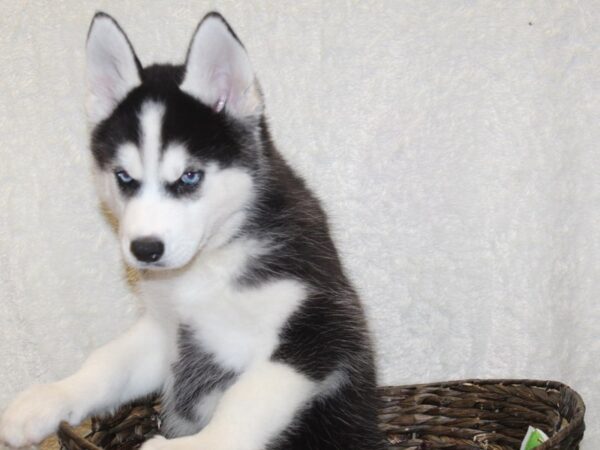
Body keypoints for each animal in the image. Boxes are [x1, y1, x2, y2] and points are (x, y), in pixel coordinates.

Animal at [0, 10, 382, 450]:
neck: (209, 264)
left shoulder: (323, 326)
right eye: (124, 177)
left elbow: (246, 400)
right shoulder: (165, 332)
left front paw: (195, 444)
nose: (145, 249)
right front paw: (50, 397)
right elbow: (107, 362)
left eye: (189, 176)